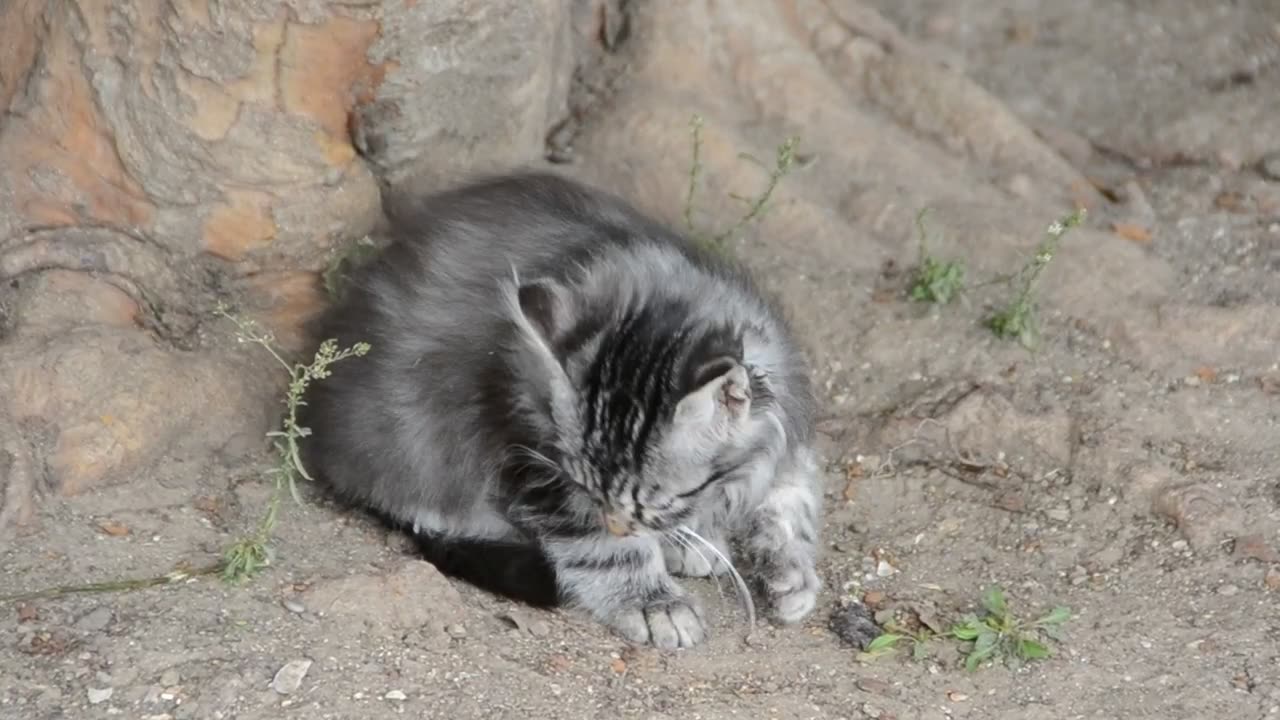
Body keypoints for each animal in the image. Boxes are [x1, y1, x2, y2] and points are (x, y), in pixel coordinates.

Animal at [298, 169, 819, 645]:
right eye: (587, 489)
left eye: (656, 500)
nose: (617, 524)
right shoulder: (530, 460)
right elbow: (599, 547)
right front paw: (654, 602)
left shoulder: (786, 425)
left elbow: (794, 502)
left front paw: (789, 574)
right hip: (412, 445)